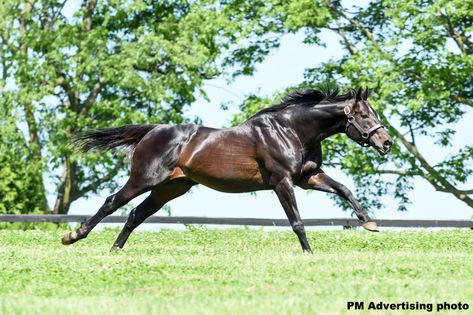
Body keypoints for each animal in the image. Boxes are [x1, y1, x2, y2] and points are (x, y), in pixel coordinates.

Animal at [63, 87, 394, 254]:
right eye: (364, 115)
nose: (386, 142)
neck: (291, 130)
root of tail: (152, 131)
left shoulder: (307, 177)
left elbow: (344, 189)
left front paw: (369, 223)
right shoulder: (282, 182)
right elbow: (297, 221)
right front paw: (308, 254)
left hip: (169, 188)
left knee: (135, 214)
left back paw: (115, 251)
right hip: (143, 180)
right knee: (111, 204)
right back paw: (73, 236)